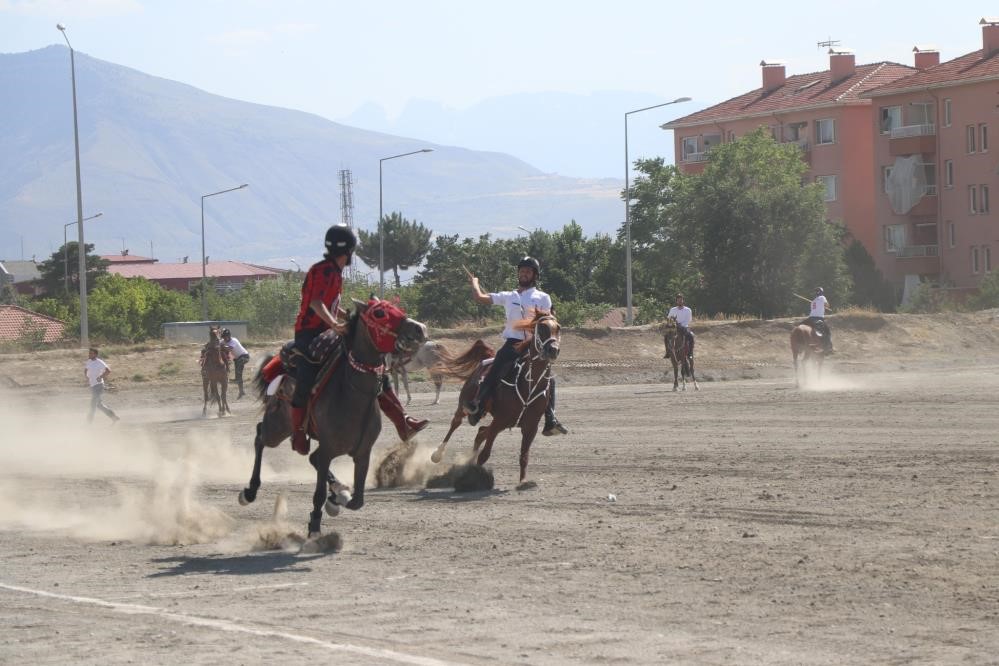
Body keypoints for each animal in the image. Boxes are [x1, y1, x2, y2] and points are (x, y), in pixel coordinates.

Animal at [244, 298, 432, 536]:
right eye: (379, 313)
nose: (420, 328)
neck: (352, 393)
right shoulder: (328, 450)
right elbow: (318, 494)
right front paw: (315, 524)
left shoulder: (362, 453)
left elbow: (357, 500)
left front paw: (338, 498)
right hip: (277, 429)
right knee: (260, 436)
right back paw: (250, 491)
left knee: (310, 457)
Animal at [428, 312, 560, 482]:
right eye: (542, 327)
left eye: (558, 328)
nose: (553, 349)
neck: (528, 384)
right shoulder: (499, 422)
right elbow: (484, 455)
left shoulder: (530, 428)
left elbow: (524, 458)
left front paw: (522, 482)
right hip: (464, 405)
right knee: (456, 423)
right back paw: (437, 454)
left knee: (481, 432)